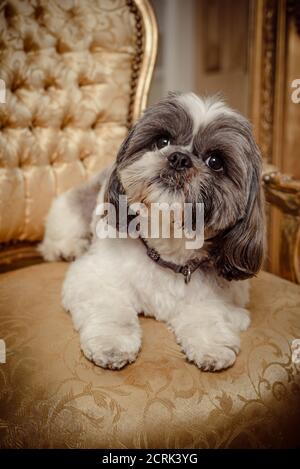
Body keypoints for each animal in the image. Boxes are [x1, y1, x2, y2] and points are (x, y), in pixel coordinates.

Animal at [38, 91, 264, 370]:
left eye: (215, 162)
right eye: (162, 141)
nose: (179, 158)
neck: (167, 253)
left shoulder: (225, 300)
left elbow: (208, 313)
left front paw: (211, 346)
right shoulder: (94, 277)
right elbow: (110, 309)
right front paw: (111, 344)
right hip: (74, 206)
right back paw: (66, 247)